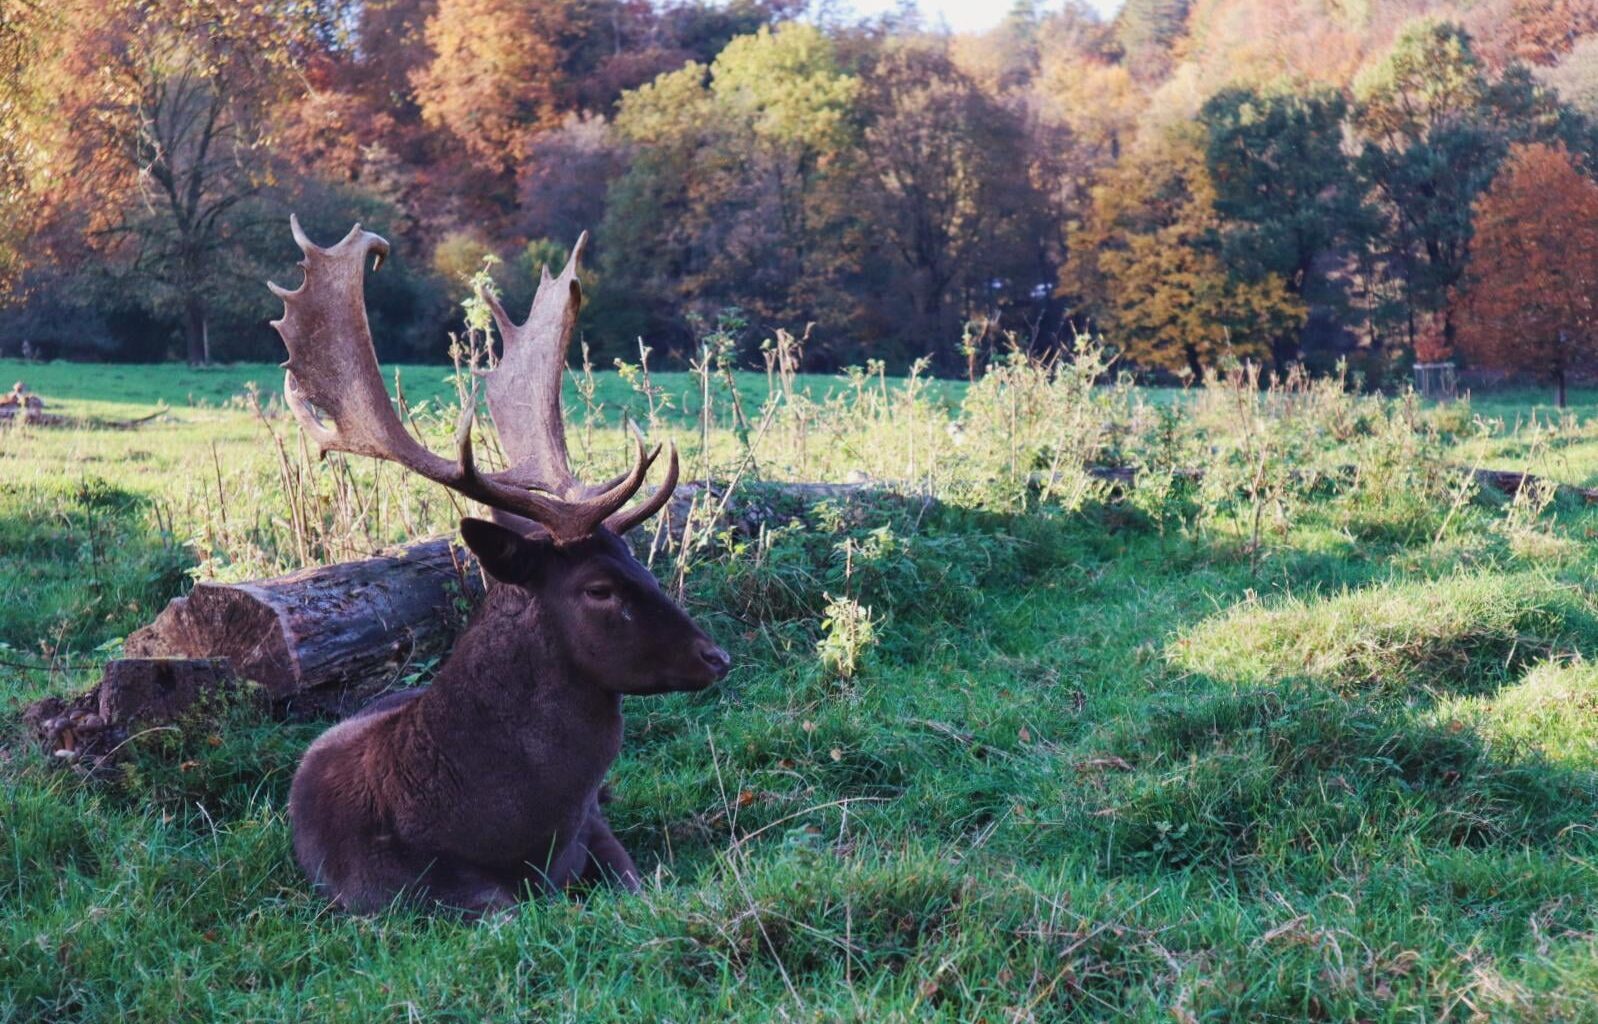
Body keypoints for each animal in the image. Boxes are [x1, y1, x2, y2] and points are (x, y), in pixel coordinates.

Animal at [276, 220, 731, 913]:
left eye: (639, 563)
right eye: (599, 588)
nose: (716, 656)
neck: (515, 832)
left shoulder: (595, 830)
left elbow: (632, 879)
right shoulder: (382, 889)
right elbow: (499, 908)